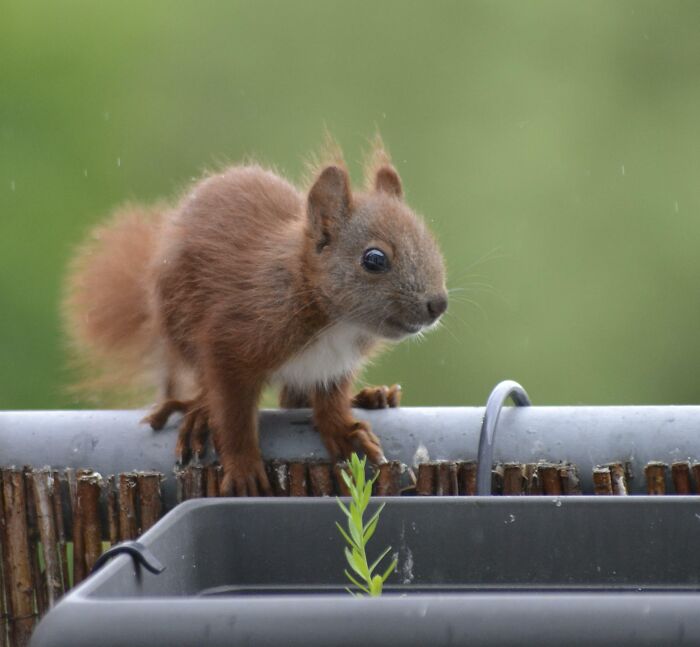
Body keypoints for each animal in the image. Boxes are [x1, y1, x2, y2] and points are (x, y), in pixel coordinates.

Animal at [65, 139, 448, 496]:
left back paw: (372, 396)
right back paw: (198, 411)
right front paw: (243, 467)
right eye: (374, 259)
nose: (438, 304)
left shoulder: (333, 366)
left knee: (292, 400)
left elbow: (331, 401)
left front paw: (342, 428)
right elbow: (233, 414)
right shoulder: (232, 340)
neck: (335, 321)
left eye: (430, 243)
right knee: (210, 387)